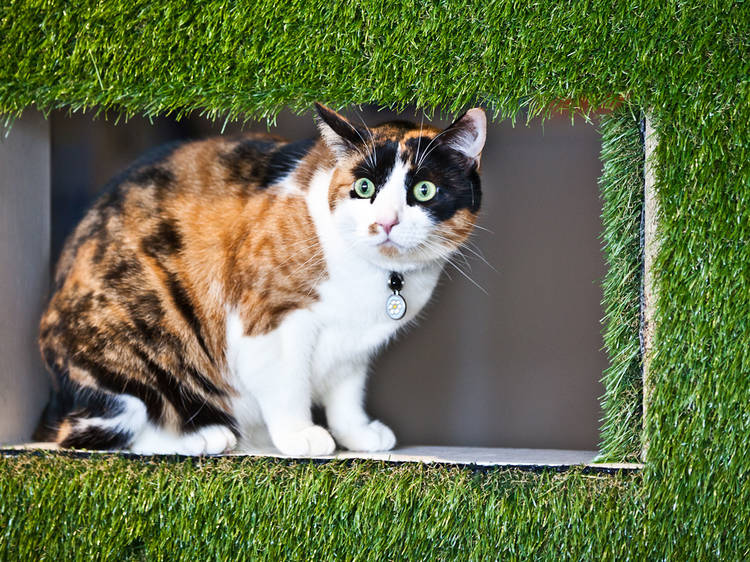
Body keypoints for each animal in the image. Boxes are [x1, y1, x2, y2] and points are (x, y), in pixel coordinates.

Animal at [38, 104, 488, 456]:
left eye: (424, 190)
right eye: (364, 187)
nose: (386, 222)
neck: (376, 278)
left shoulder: (354, 348)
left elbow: (346, 393)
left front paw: (357, 434)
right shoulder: (269, 320)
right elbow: (287, 384)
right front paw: (300, 435)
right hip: (130, 336)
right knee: (93, 433)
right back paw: (202, 437)